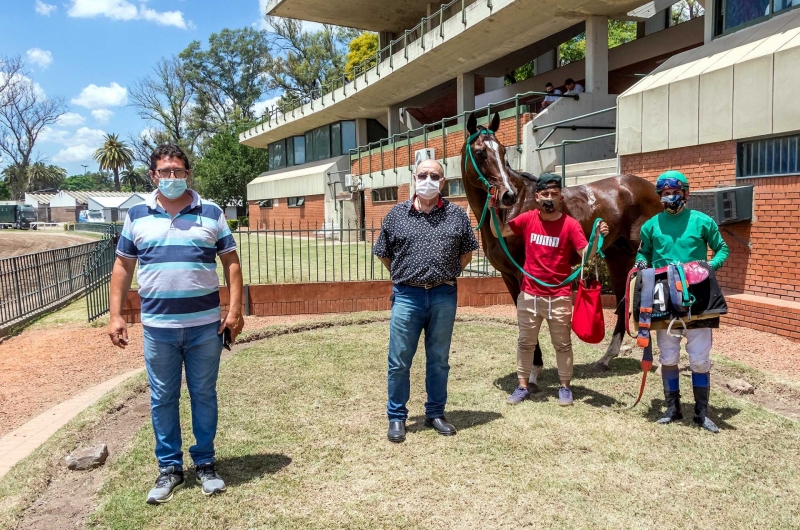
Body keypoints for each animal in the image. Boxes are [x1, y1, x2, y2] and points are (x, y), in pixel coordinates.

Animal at [462, 112, 664, 368]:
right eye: (480, 153)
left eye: (503, 151)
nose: (507, 195)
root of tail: (652, 190)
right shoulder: (508, 275)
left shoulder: (522, 272)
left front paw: (534, 366)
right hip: (619, 257)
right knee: (622, 300)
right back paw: (607, 357)